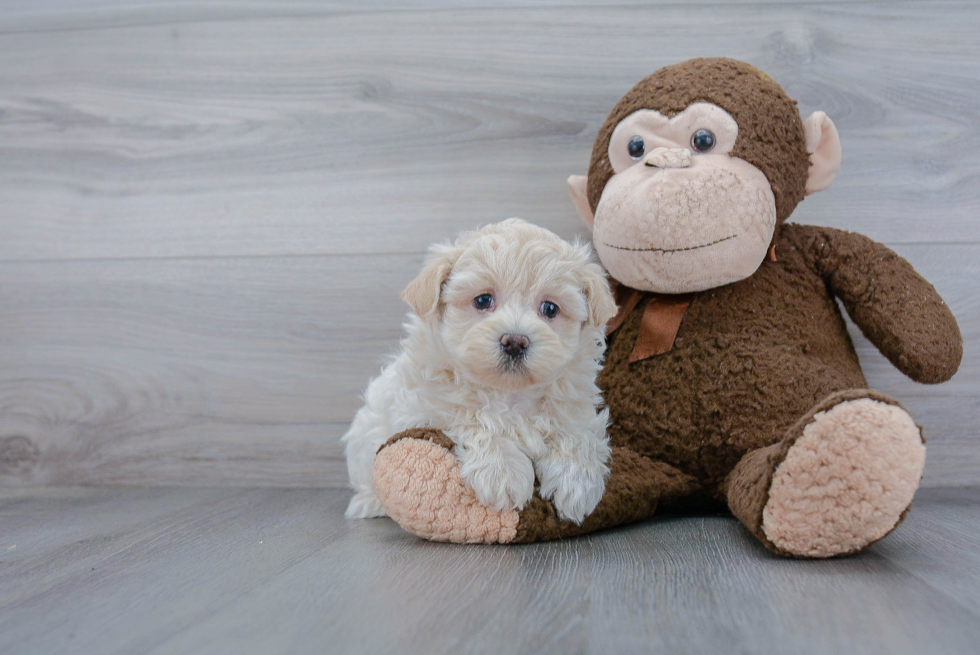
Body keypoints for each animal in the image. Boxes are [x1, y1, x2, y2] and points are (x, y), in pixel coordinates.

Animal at [344, 218, 616, 524]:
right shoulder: (424, 408)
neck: (509, 392)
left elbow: (576, 435)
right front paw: (504, 473)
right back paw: (369, 503)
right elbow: (474, 419)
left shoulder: (574, 407)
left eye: (550, 308)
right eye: (483, 300)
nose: (515, 341)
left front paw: (577, 482)